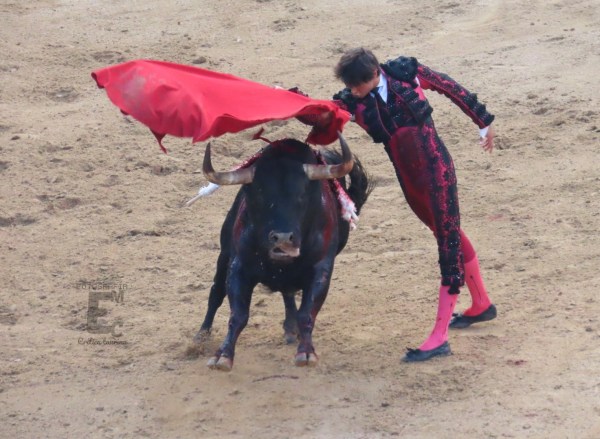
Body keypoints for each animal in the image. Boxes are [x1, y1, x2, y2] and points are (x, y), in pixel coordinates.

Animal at [195, 133, 373, 371]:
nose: (282, 238)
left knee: (288, 294)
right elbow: (238, 314)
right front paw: (222, 355)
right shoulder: (238, 267)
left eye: (303, 195)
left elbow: (306, 313)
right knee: (216, 292)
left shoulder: (321, 269)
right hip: (223, 254)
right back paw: (201, 336)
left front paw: (306, 352)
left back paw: (291, 328)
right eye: (259, 194)